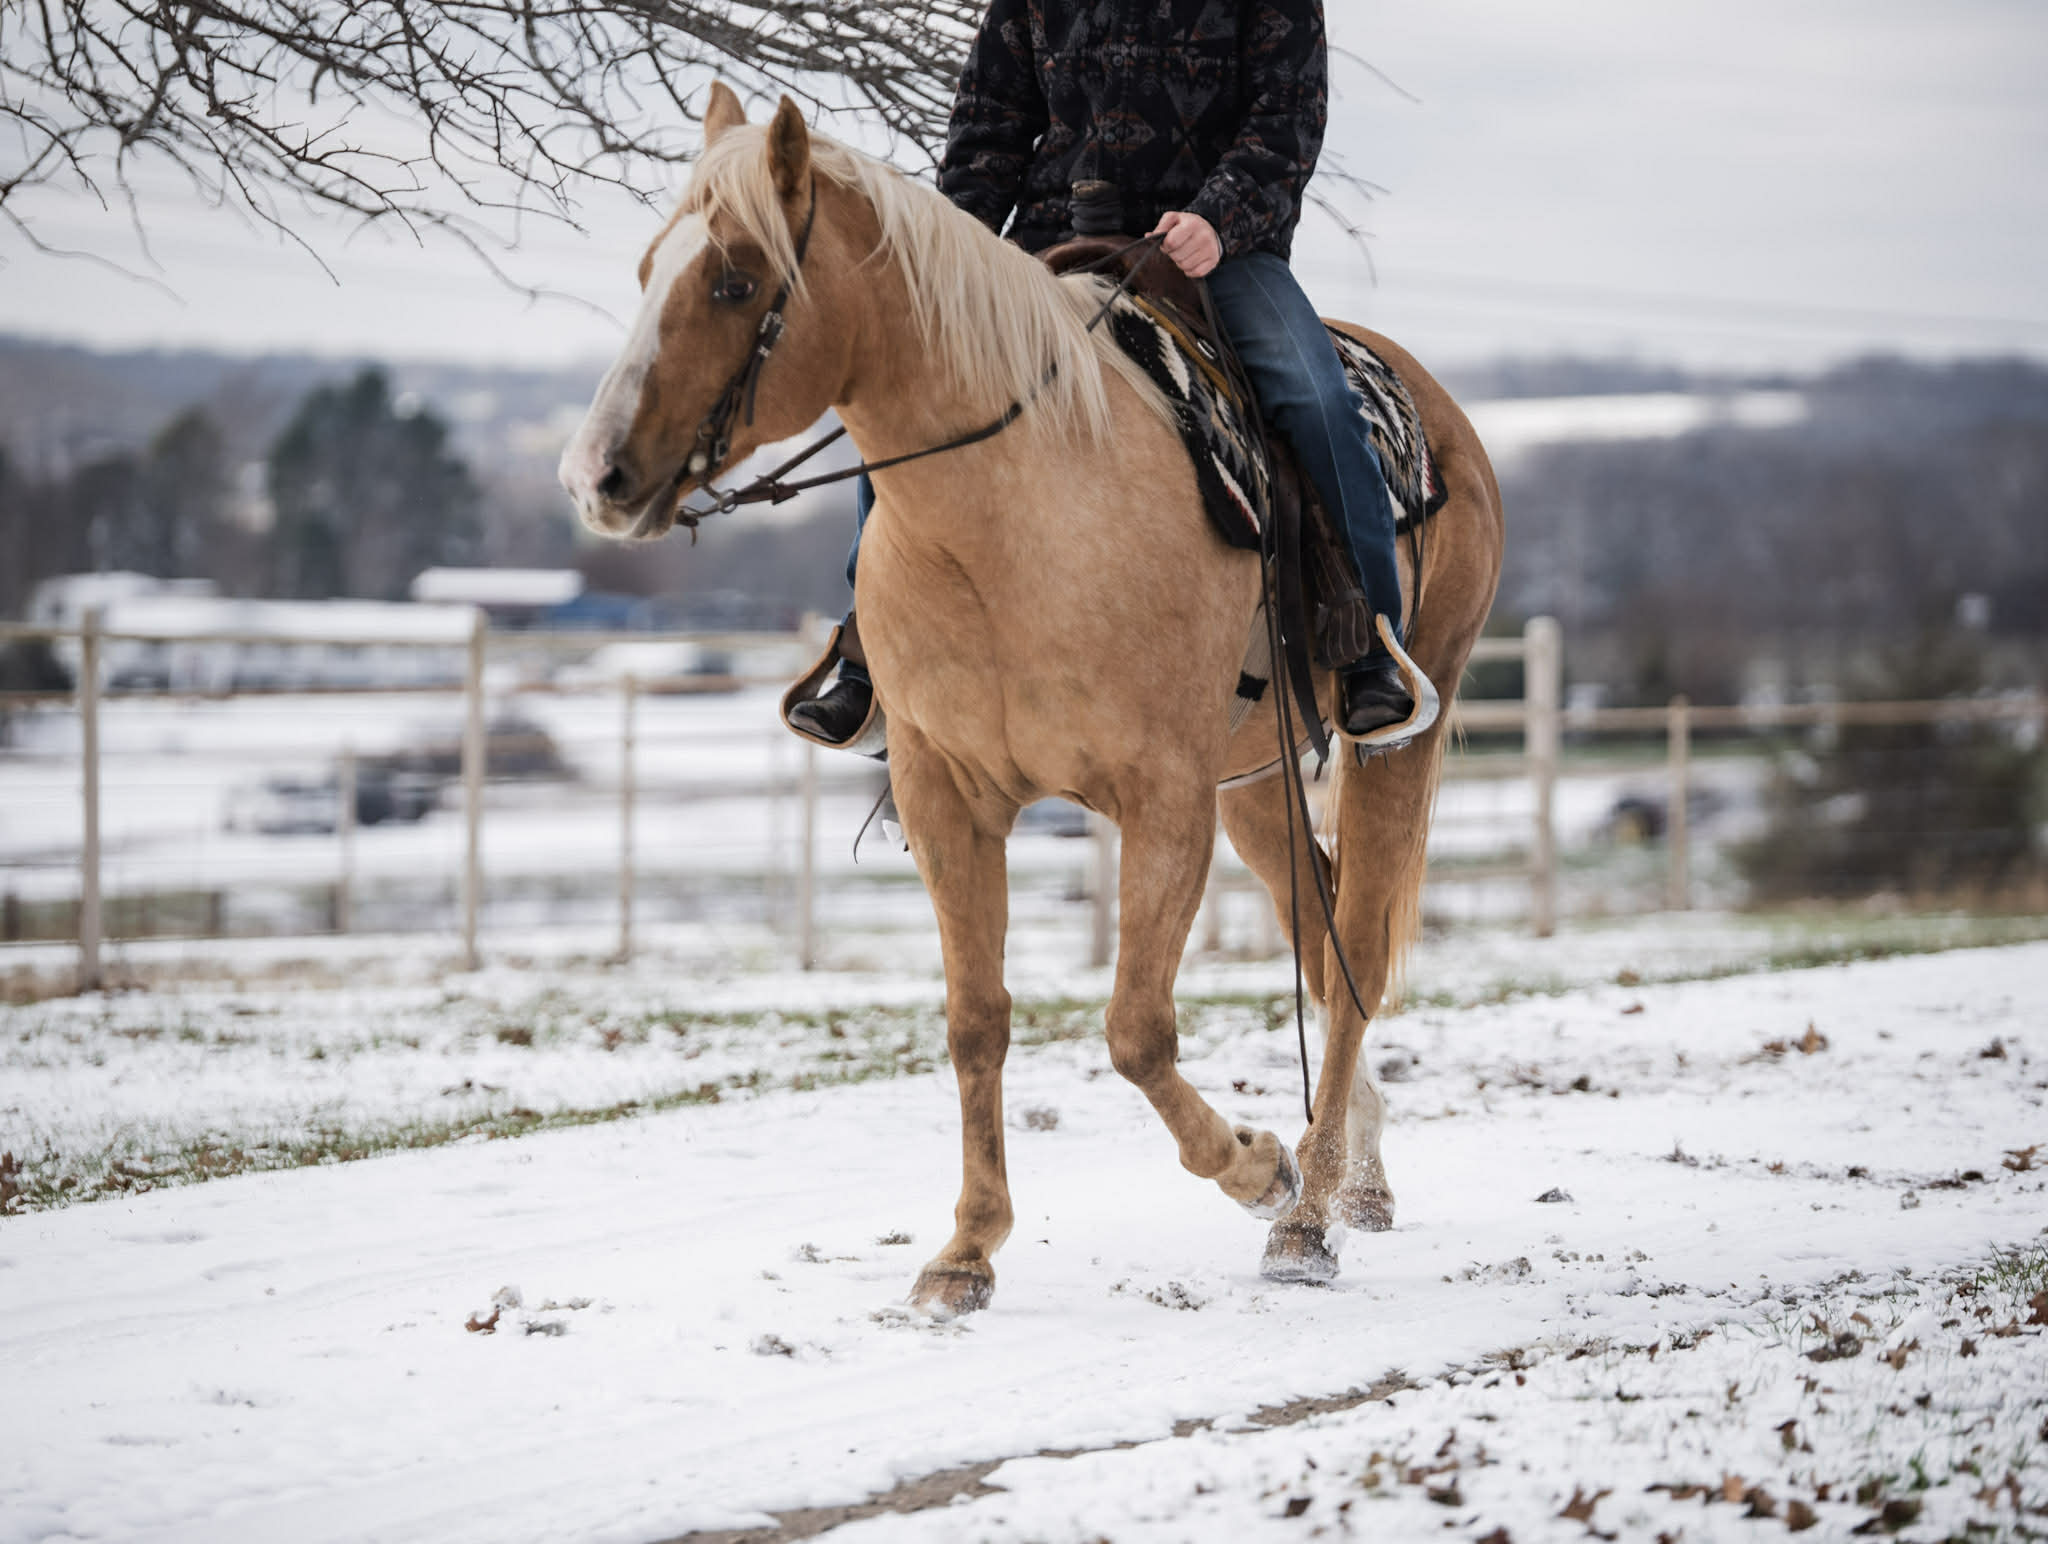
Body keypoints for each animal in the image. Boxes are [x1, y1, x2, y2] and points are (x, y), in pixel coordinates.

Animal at [560, 85, 1504, 1316]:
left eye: (730, 278)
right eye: (646, 270)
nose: (595, 477)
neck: (1017, 517)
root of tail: (1438, 412)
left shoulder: (1160, 802)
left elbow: (1137, 1028)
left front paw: (1258, 1168)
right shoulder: (946, 796)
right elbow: (976, 1021)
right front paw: (965, 1251)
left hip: (1386, 748)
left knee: (1353, 958)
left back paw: (1306, 1213)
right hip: (1256, 785)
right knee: (1325, 937)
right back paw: (1355, 1175)